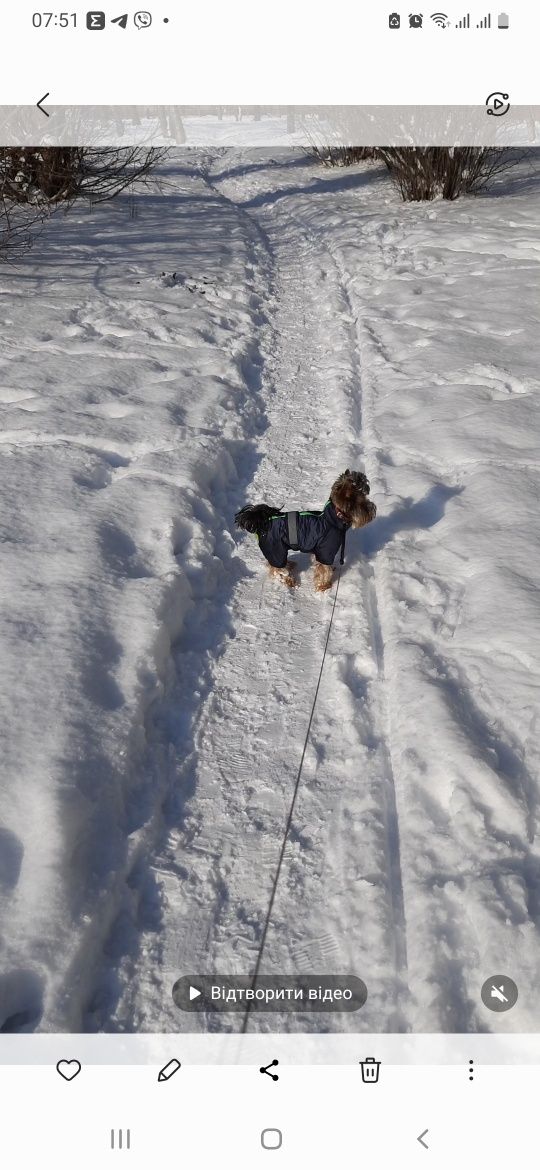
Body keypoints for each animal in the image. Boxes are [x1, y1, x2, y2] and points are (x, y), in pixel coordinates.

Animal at [233, 467, 378, 589]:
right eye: (361, 504)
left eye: (365, 500)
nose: (373, 509)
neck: (333, 519)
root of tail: (261, 523)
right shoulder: (325, 551)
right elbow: (323, 570)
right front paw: (324, 586)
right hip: (275, 550)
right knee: (276, 570)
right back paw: (290, 581)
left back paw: (290, 564)